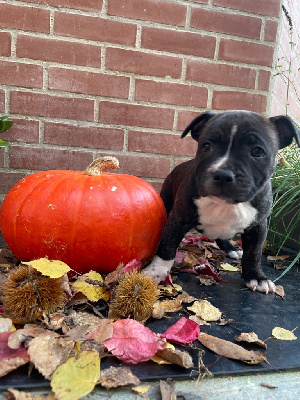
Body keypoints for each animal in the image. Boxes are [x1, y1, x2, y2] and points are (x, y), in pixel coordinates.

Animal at [144, 109, 300, 294]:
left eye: (257, 151)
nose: (223, 174)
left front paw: (256, 276)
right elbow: (167, 246)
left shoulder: (258, 226)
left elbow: (254, 253)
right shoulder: (178, 219)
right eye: (206, 146)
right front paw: (156, 271)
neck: (227, 204)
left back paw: (231, 249)